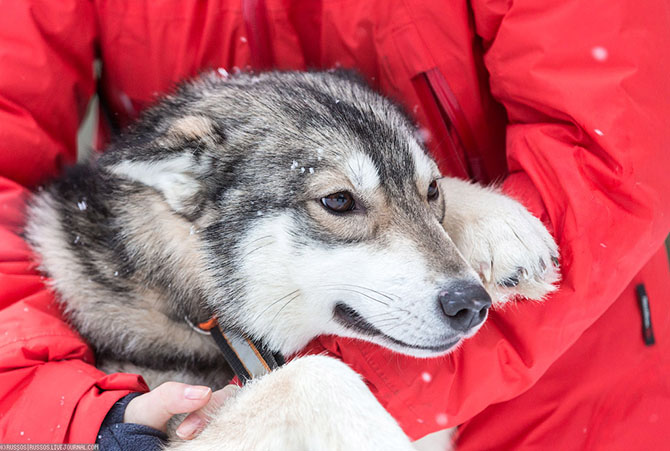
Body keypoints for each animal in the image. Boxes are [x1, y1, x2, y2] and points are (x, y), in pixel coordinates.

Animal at [25, 71, 560, 451]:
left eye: (432, 190)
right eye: (339, 201)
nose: (470, 303)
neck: (203, 316)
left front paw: (500, 226)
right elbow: (315, 374)